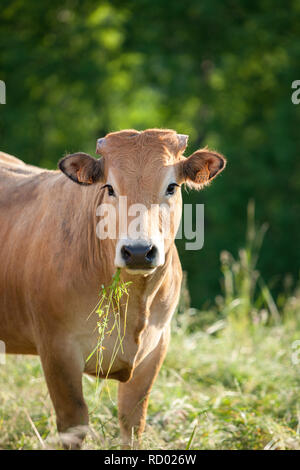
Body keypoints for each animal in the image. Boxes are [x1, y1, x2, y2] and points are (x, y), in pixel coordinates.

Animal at [0, 129, 225, 448]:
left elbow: (133, 422)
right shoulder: (56, 349)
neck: (134, 305)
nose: (139, 251)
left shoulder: (156, 347)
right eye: (109, 187)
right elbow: (74, 423)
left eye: (171, 187)